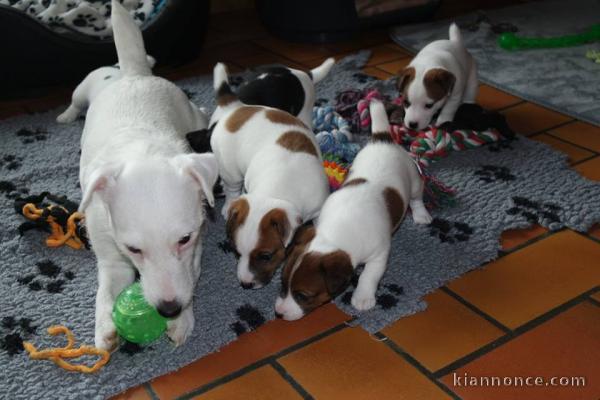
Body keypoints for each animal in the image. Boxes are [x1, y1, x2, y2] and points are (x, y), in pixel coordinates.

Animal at [75, 0, 216, 350]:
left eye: (184, 239)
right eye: (133, 249)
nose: (169, 309)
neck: (142, 151)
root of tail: (135, 73)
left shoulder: (196, 246)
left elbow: (189, 274)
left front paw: (183, 321)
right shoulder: (111, 255)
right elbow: (105, 290)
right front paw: (104, 328)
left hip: (187, 109)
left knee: (199, 114)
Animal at [211, 61, 330, 288]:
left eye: (266, 256)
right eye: (236, 253)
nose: (245, 284)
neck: (277, 190)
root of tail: (235, 107)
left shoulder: (318, 209)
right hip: (230, 170)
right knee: (232, 188)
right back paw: (229, 205)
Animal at [276, 101, 432, 322]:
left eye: (303, 295)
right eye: (282, 283)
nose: (279, 313)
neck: (335, 234)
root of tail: (382, 139)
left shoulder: (379, 254)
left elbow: (369, 275)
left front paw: (363, 297)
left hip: (414, 179)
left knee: (417, 197)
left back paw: (421, 215)